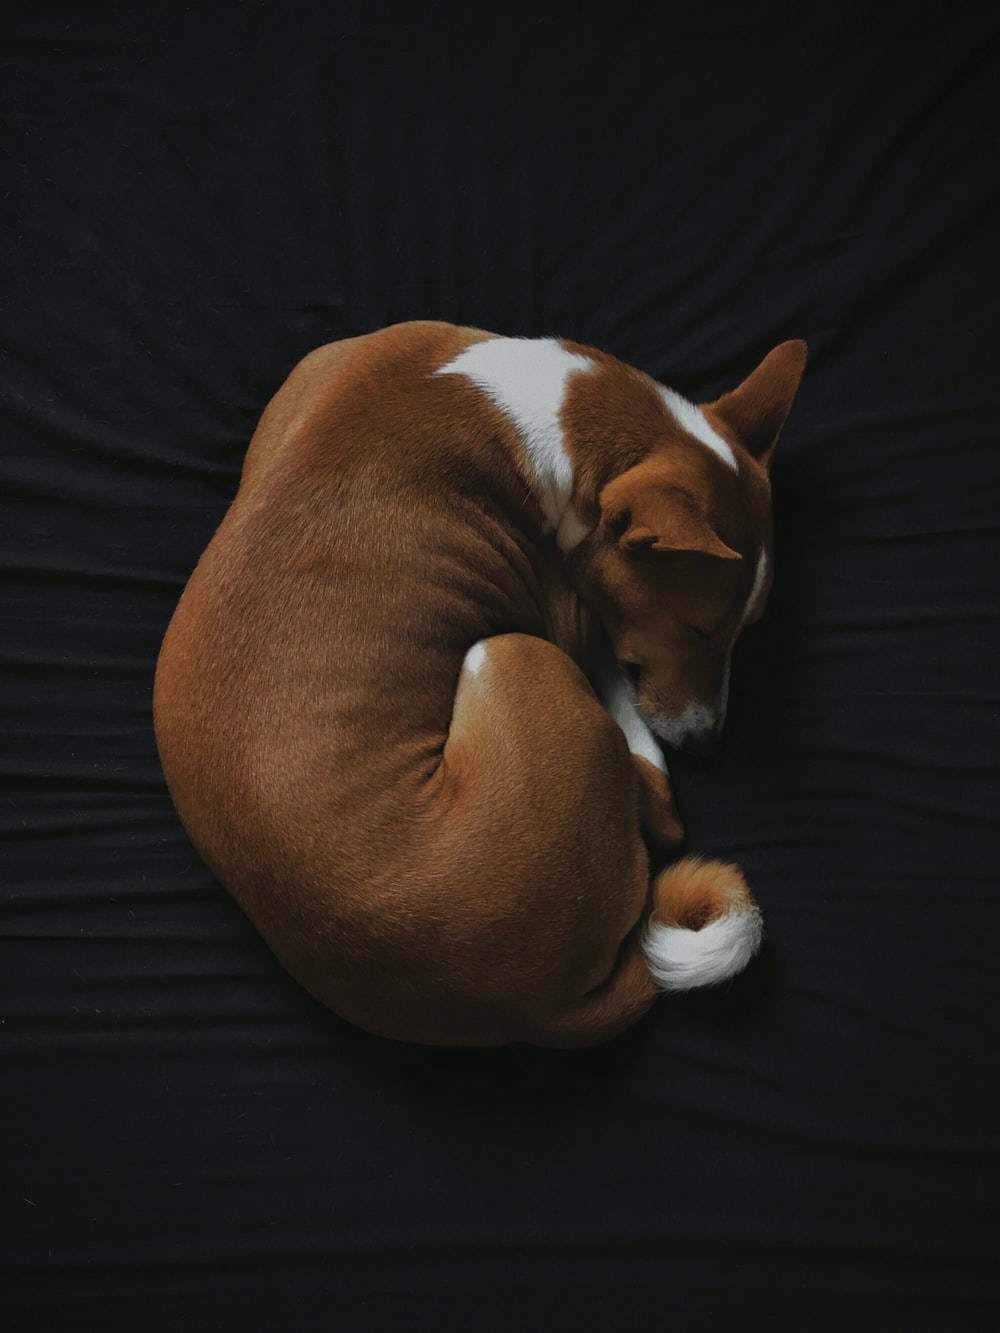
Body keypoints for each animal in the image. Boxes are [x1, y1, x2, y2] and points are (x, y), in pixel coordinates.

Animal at [154, 325, 805, 1050]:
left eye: (747, 631)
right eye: (699, 630)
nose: (711, 744)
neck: (541, 404)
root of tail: (537, 1010)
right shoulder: (569, 619)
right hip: (512, 651)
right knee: (662, 812)